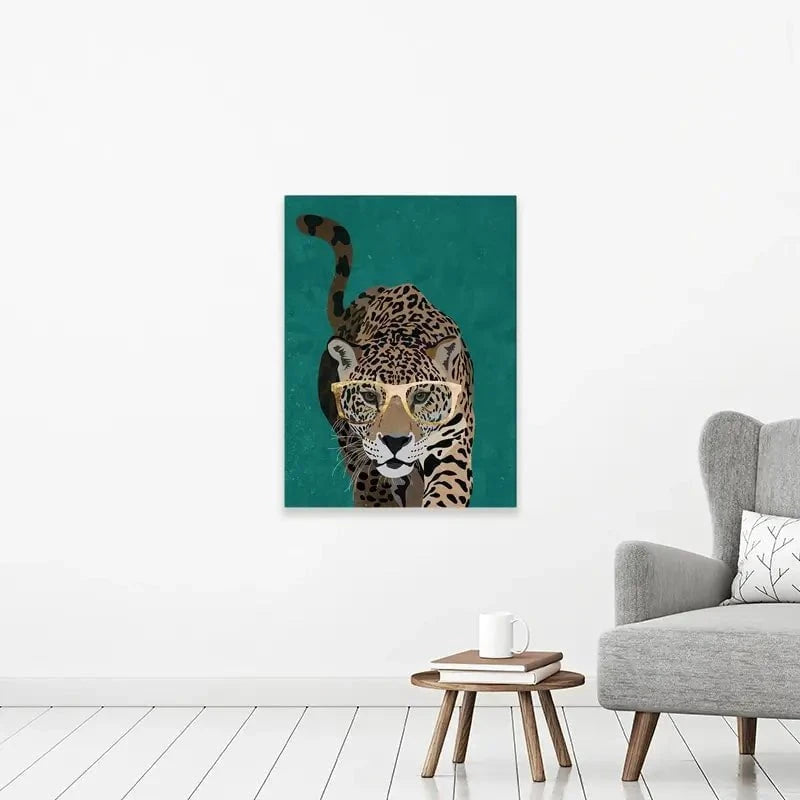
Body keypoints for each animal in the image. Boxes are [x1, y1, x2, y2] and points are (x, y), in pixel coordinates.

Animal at [296, 213, 474, 508]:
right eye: (369, 396)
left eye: (421, 396)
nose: (395, 442)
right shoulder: (362, 451)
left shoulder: (452, 444)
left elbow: (446, 493)